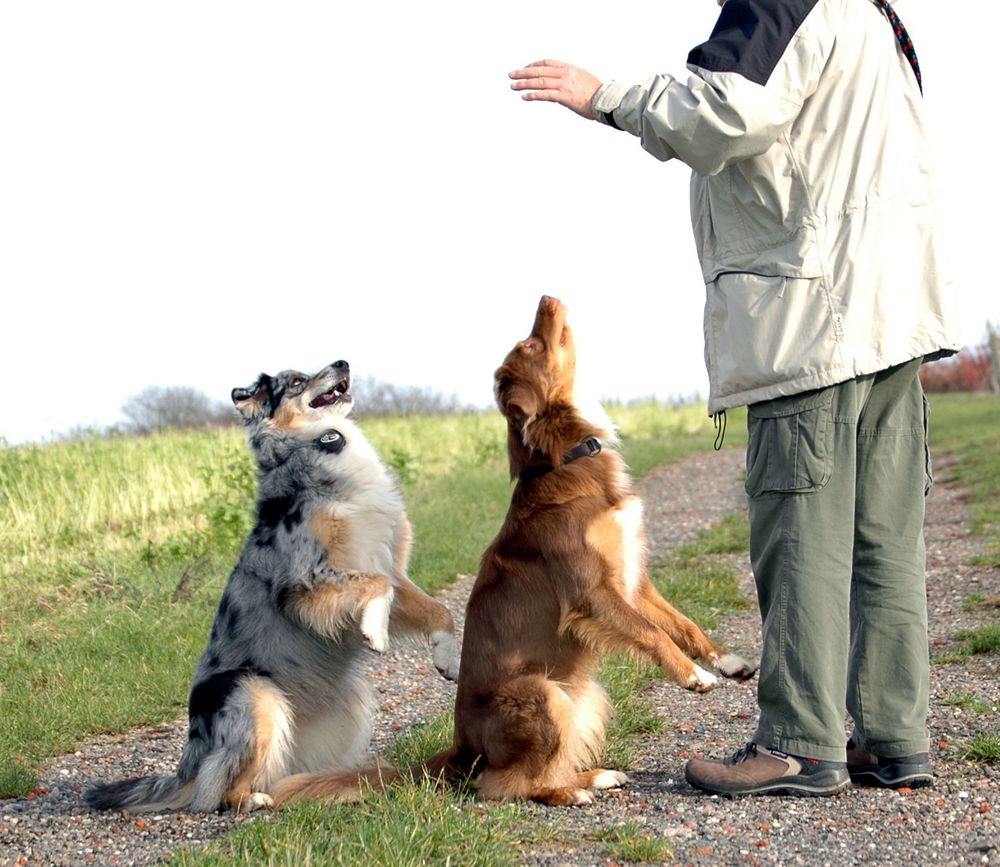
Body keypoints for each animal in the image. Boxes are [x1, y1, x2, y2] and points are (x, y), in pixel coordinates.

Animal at [83, 360, 460, 812]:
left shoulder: (393, 566)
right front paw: (374, 630)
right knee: (220, 791)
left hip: (348, 700)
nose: (343, 362)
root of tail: (190, 762)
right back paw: (255, 799)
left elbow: (437, 608)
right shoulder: (302, 580)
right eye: (296, 381)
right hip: (254, 695)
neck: (314, 444)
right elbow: (374, 584)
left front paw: (448, 658)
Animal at [270, 296, 752, 808]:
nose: (546, 298)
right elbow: (652, 632)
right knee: (502, 785)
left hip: (582, 697)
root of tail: (461, 746)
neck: (565, 459)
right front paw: (694, 677)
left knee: (540, 767)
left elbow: (682, 624)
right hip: (542, 693)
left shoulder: (633, 582)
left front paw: (726, 661)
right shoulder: (592, 593)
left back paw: (590, 777)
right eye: (531, 345)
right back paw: (571, 792)